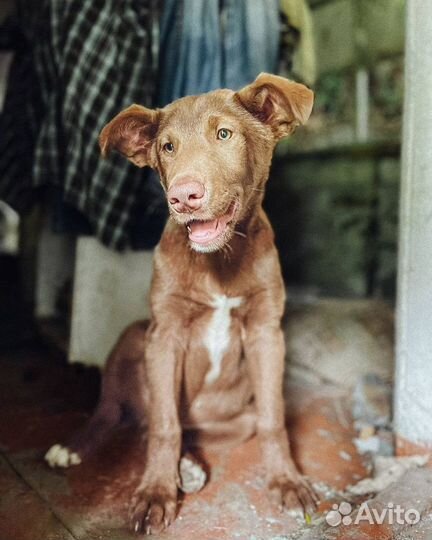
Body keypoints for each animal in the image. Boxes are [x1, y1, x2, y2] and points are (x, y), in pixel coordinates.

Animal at [45, 74, 318, 532]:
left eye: (224, 134)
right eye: (167, 147)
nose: (183, 197)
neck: (220, 261)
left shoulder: (267, 332)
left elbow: (272, 418)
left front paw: (287, 480)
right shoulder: (165, 334)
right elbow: (164, 427)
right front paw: (156, 492)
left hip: (231, 414)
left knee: (193, 426)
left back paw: (188, 465)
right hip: (134, 335)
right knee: (122, 413)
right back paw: (78, 446)